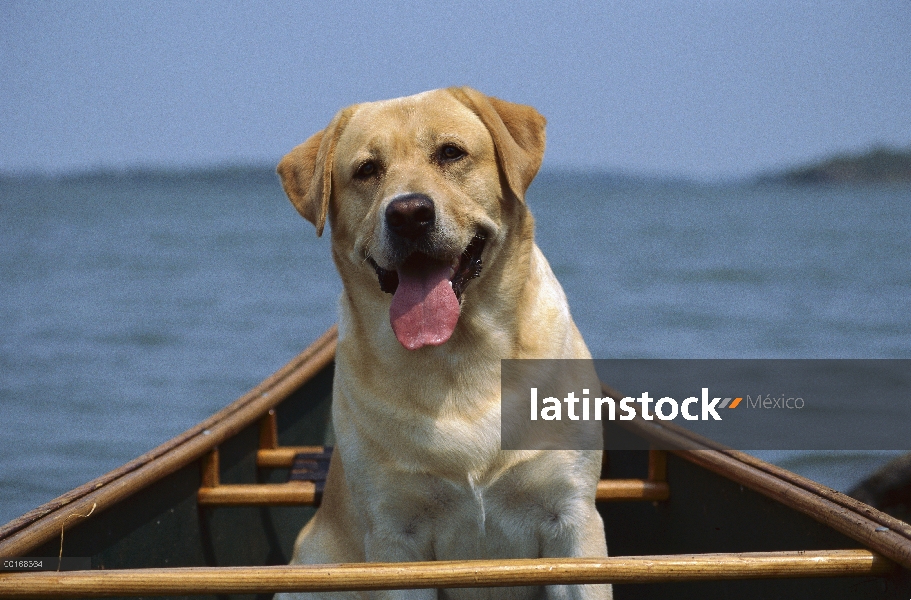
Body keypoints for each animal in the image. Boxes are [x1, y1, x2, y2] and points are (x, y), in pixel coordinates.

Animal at [274, 85, 608, 600]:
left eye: (450, 153)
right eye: (367, 169)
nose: (409, 213)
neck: (460, 357)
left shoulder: (572, 519)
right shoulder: (396, 536)